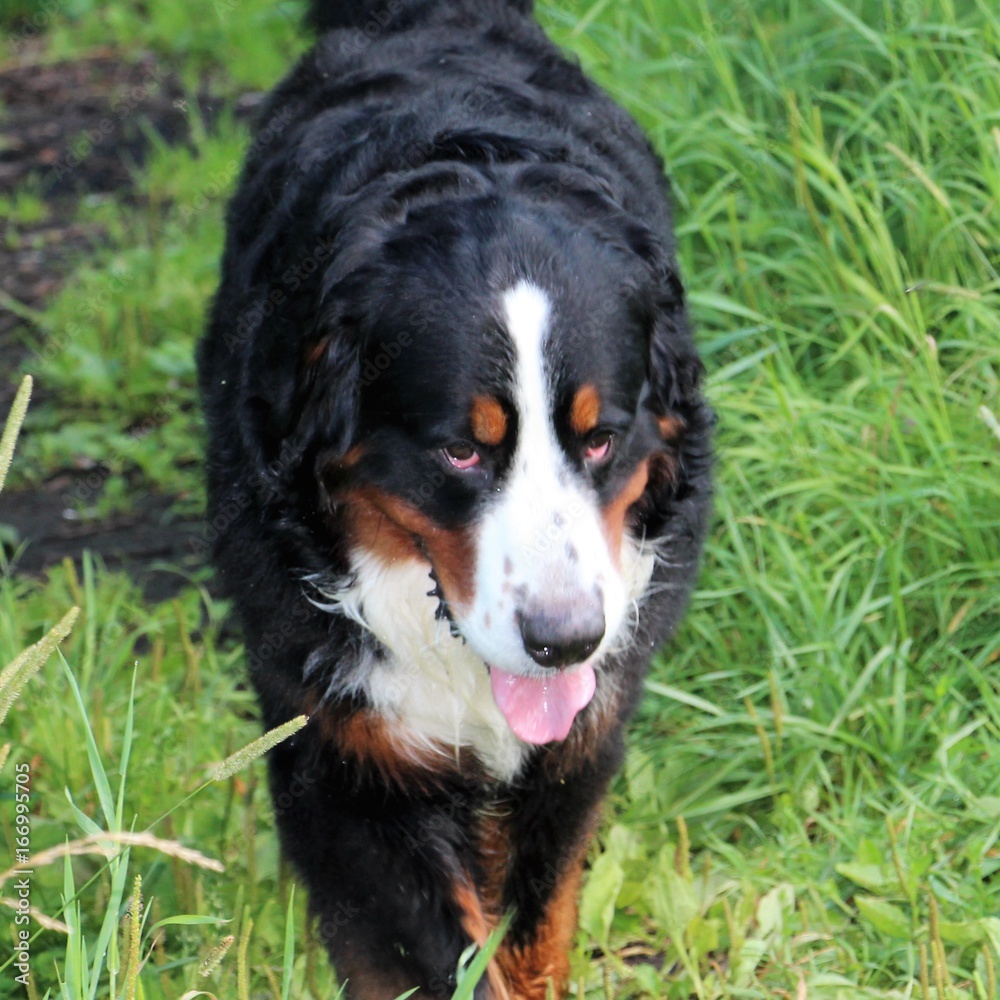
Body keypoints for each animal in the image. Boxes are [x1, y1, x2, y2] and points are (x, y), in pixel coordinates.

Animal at [197, 0, 712, 996]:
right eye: (461, 451)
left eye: (601, 436)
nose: (565, 641)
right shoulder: (348, 765)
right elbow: (447, 962)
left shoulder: (578, 744)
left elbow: (532, 926)